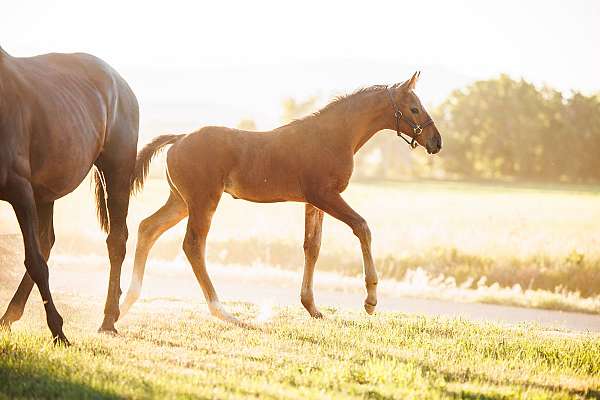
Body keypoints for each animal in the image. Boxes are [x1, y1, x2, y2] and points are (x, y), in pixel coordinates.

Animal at [0, 47, 137, 344]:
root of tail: (121, 84)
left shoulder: (20, 190)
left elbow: (35, 262)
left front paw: (58, 331)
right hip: (45, 193)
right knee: (46, 241)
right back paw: (8, 317)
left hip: (117, 172)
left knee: (116, 241)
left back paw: (108, 319)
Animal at [120, 71, 440, 322]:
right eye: (414, 109)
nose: (436, 142)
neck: (333, 136)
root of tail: (179, 139)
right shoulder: (325, 196)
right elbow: (362, 227)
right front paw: (371, 300)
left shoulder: (314, 201)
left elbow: (313, 247)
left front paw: (312, 307)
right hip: (203, 201)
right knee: (193, 245)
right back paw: (221, 311)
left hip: (180, 201)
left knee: (148, 228)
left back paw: (126, 302)